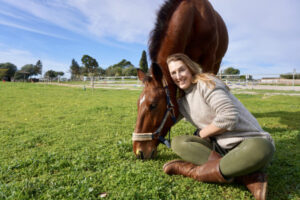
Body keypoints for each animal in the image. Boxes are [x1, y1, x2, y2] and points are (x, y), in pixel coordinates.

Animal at [132, 0, 229, 159]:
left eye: (153, 105)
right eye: (138, 104)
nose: (139, 151)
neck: (195, 16)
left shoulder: (209, 59)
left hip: (217, 62)